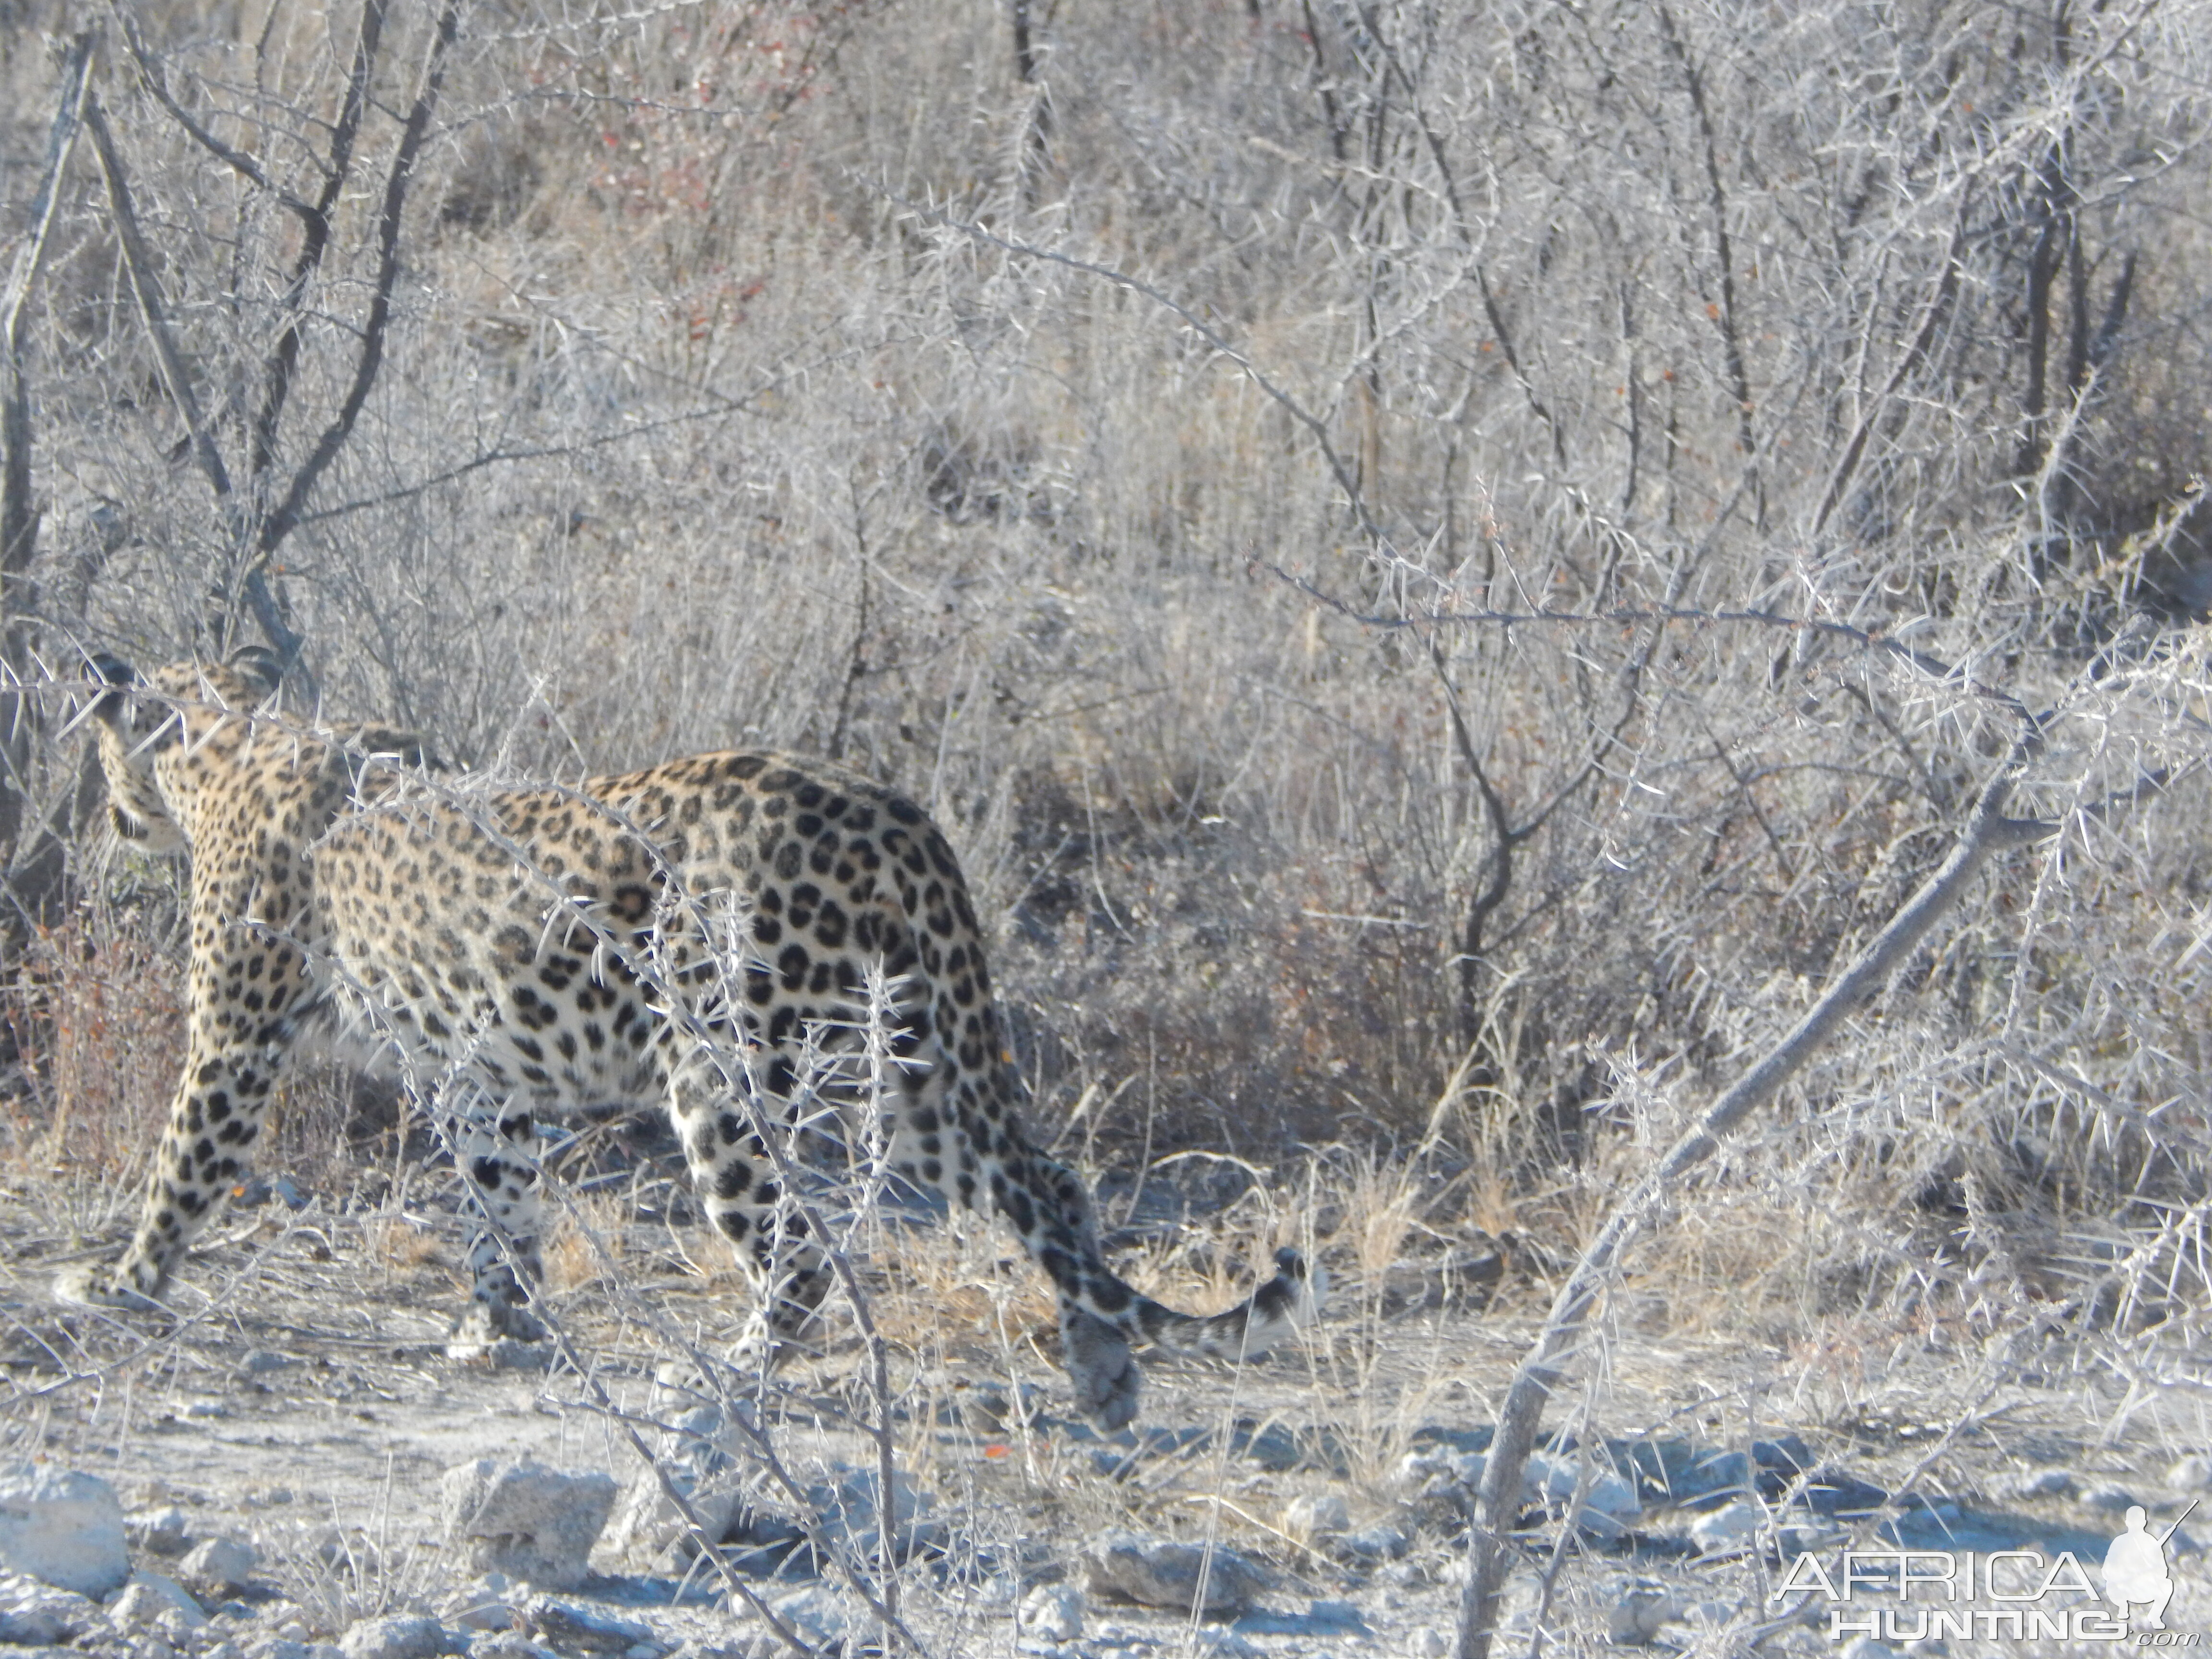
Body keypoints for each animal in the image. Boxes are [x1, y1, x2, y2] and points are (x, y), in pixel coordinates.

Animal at [60, 650, 1318, 1433]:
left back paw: (725, 1375)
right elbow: (498, 1197)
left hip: (731, 1071)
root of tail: (898, 815)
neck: (230, 738)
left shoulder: (234, 1040)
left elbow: (182, 1162)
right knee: (1050, 1188)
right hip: (908, 1062)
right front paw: (500, 1321)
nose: (101, 813)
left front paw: (119, 1282)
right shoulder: (478, 1082)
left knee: (801, 1252)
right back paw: (1105, 1379)